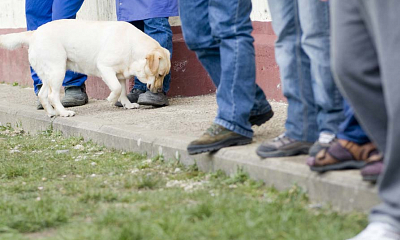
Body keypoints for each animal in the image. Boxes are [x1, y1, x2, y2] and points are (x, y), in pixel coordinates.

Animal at [0, 19, 170, 117]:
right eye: (159, 74)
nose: (159, 91)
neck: (132, 47)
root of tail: (34, 33)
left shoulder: (120, 74)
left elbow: (122, 91)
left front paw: (127, 105)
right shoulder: (105, 68)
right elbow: (116, 88)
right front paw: (111, 98)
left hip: (49, 75)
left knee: (43, 95)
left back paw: (53, 113)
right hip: (58, 71)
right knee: (52, 96)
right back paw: (64, 112)